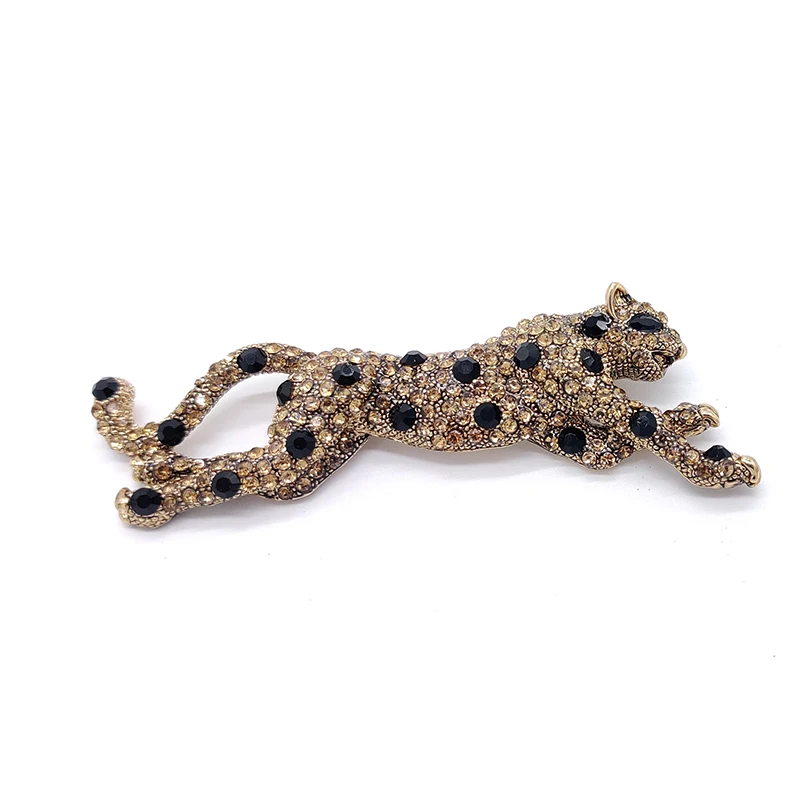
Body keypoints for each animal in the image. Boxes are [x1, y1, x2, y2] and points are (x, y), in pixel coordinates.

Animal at [91, 282, 761, 528]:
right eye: (652, 322)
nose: (680, 344)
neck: (584, 335)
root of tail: (312, 358)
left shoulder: (562, 428)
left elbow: (609, 443)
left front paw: (691, 418)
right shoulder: (592, 395)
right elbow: (652, 427)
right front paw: (723, 463)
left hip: (308, 459)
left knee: (219, 465)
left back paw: (153, 472)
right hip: (301, 451)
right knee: (229, 475)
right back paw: (144, 501)